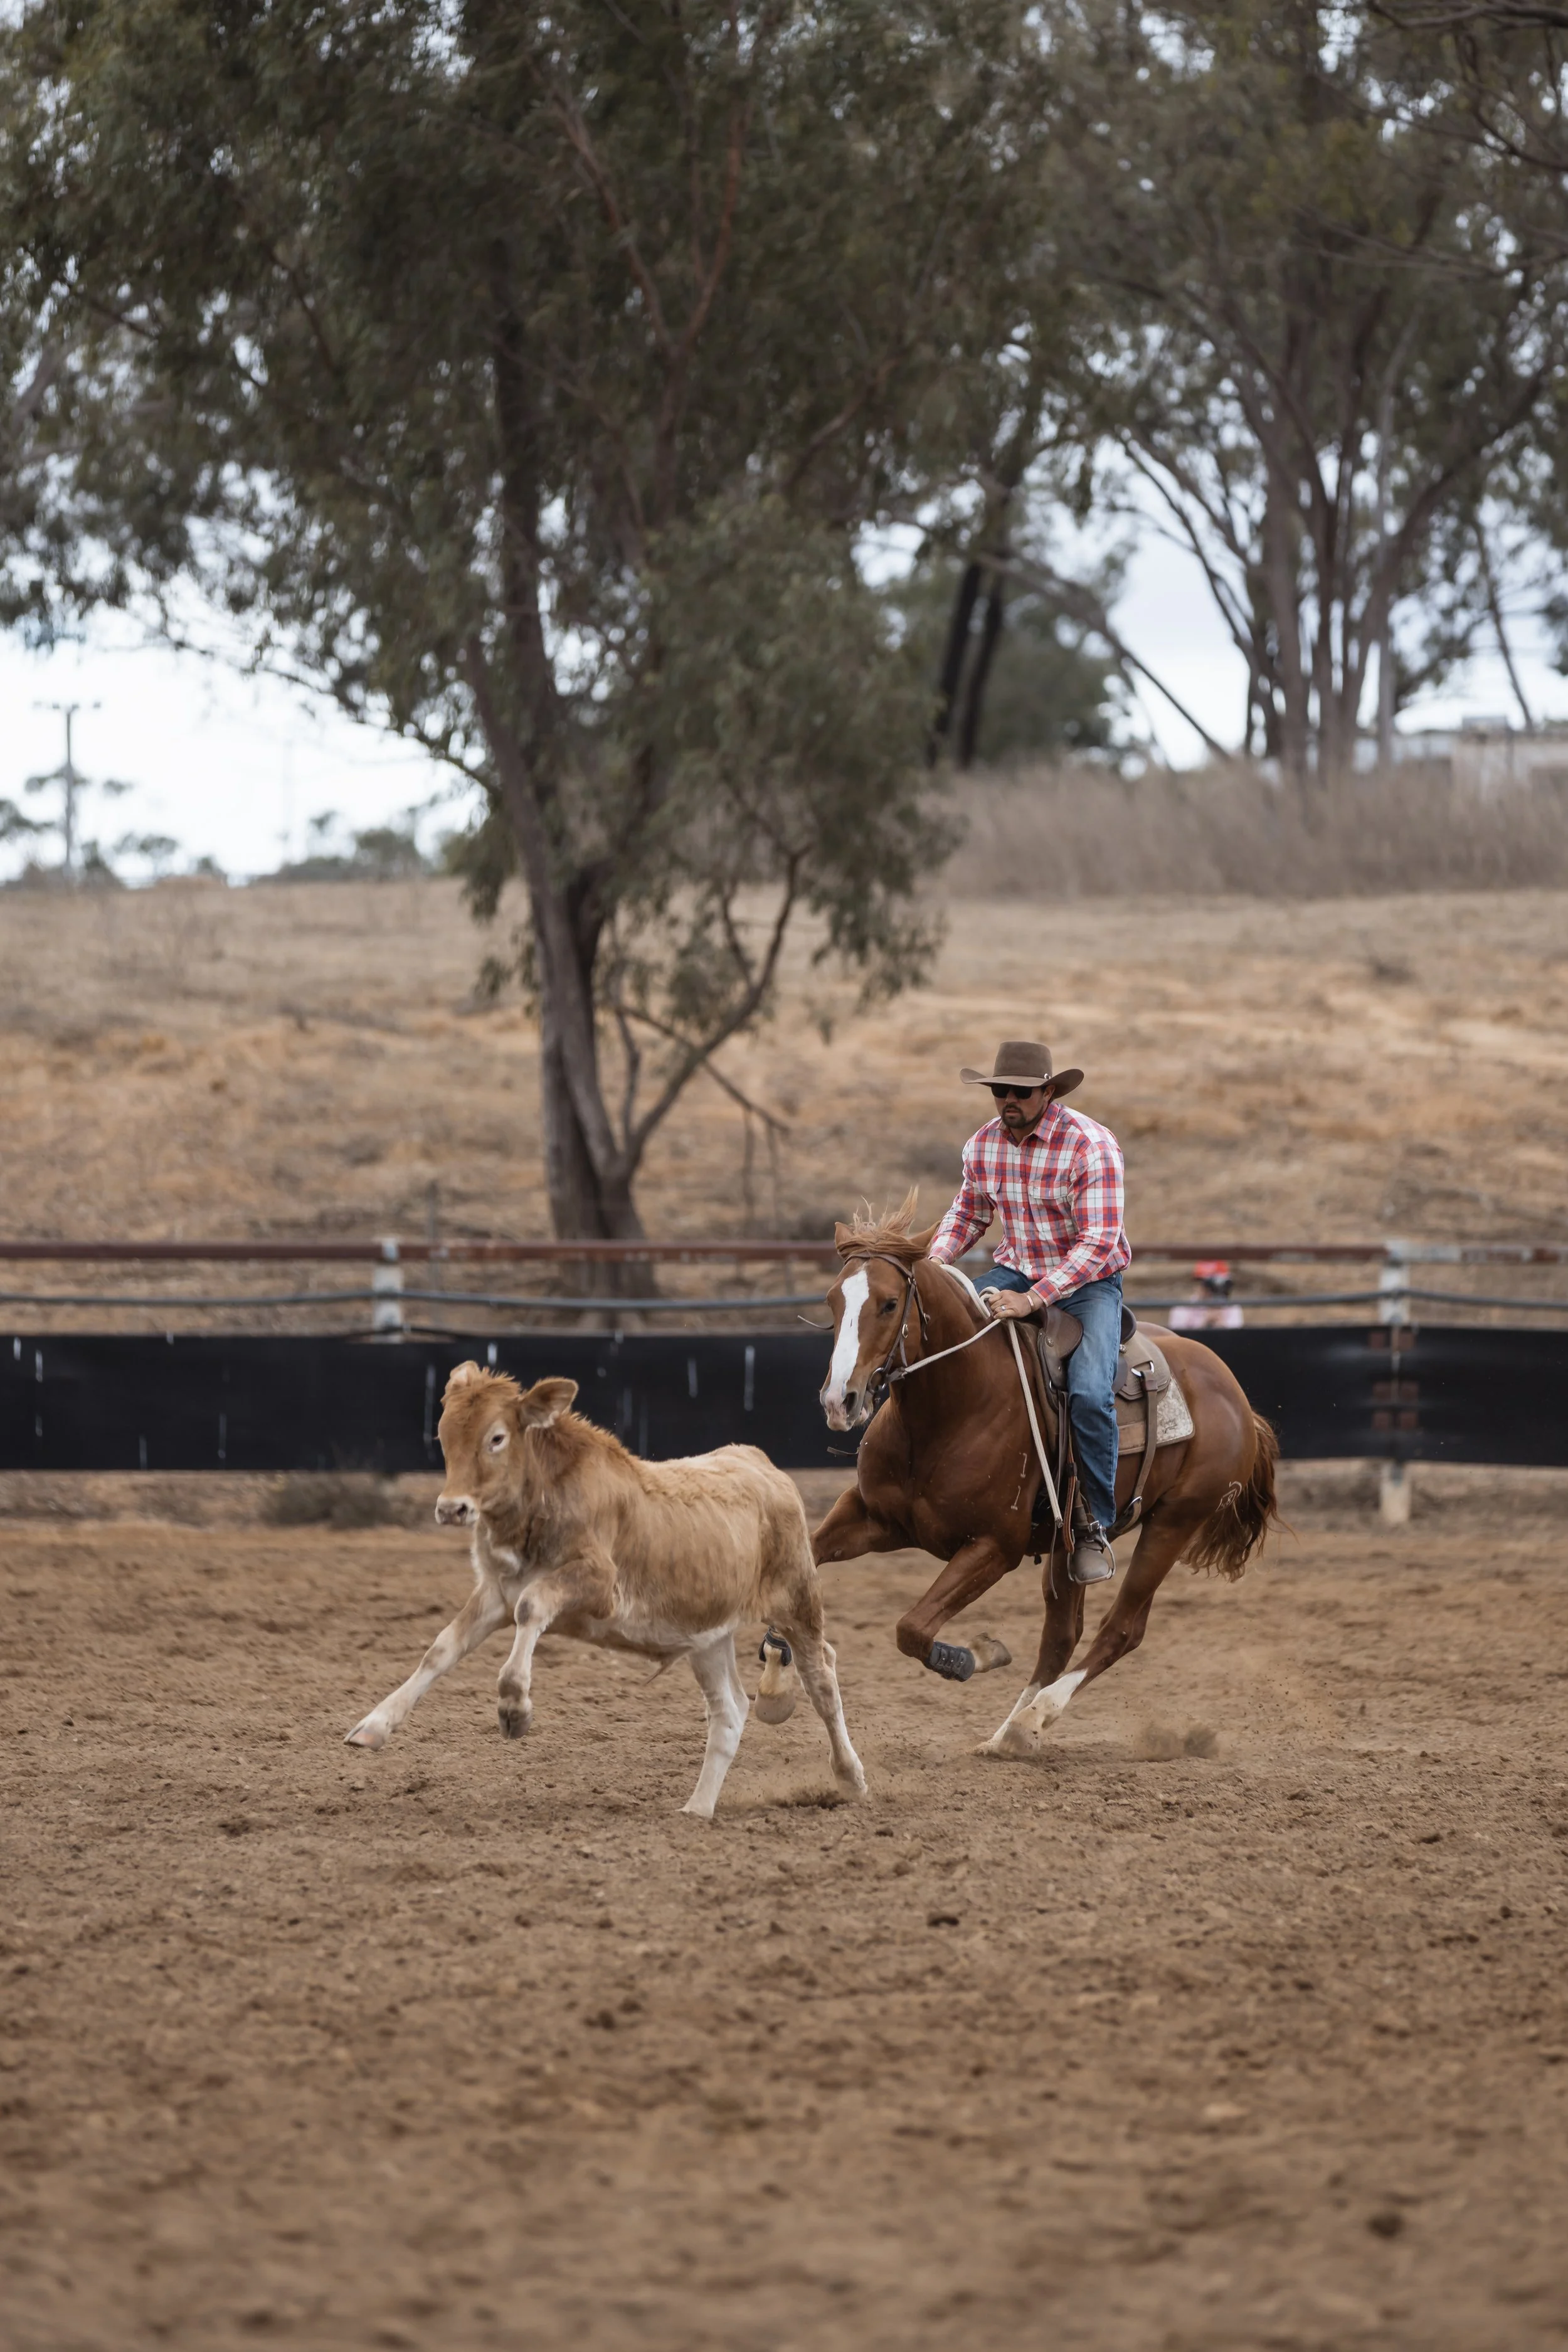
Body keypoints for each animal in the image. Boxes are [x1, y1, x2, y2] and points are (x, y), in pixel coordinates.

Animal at [344, 1363, 866, 1819]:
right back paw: (698, 1808)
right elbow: (441, 1649)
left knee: (822, 1680)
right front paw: (373, 1726)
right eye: (444, 1435)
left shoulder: (596, 1584)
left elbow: (532, 1609)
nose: (452, 1508)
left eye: (496, 1438)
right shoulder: (495, 1592)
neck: (540, 1505)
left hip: (797, 1599)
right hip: (707, 1634)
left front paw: (514, 1708)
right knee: (730, 1710)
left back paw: (850, 1777)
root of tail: (762, 1465)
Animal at [809, 1198, 1281, 1756]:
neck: (953, 1406)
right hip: (1069, 1547)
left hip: (1174, 1522)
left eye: (887, 1304)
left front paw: (975, 1655)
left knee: (1121, 1629)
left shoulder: (995, 1546)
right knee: (1062, 1635)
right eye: (833, 1300)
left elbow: (912, 1628)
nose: (840, 1401)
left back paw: (1036, 1716)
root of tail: (1235, 1396)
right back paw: (1008, 1733)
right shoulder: (870, 1517)